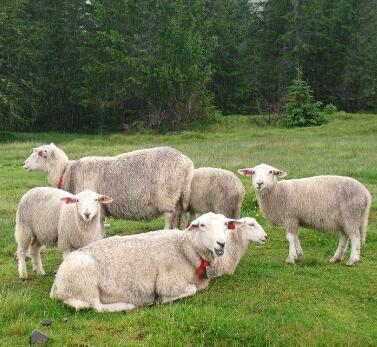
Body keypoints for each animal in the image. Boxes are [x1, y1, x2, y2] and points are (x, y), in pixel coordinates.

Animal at [22, 143, 194, 230]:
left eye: (37, 154)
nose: (24, 164)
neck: (67, 172)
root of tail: (187, 162)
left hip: (167, 197)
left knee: (169, 217)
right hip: (179, 196)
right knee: (179, 216)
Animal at [48, 212, 234, 312]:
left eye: (226, 224)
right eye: (202, 225)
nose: (221, 244)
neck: (186, 248)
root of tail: (56, 288)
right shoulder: (168, 283)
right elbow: (191, 290)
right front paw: (160, 300)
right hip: (85, 280)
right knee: (97, 306)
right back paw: (126, 306)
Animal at [238, 163, 370, 266]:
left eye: (271, 172)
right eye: (253, 172)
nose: (259, 183)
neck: (277, 192)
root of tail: (366, 193)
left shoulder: (290, 216)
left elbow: (290, 237)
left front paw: (291, 258)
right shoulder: (295, 219)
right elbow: (295, 236)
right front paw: (298, 254)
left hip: (351, 216)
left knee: (355, 237)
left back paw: (352, 260)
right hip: (343, 219)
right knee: (344, 237)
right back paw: (336, 258)